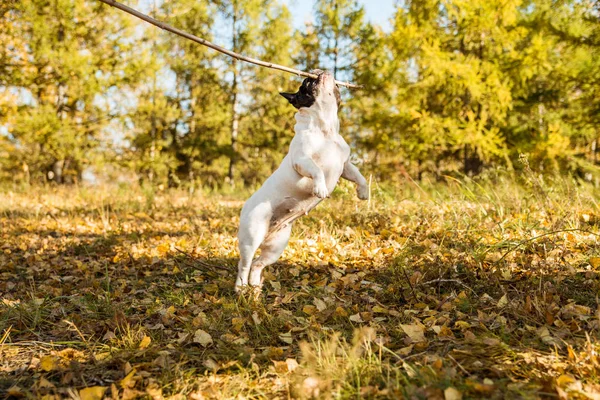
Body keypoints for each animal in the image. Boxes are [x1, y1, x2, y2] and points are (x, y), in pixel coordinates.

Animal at [236, 70, 368, 292]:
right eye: (307, 83)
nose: (317, 71)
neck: (326, 130)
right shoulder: (302, 160)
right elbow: (317, 171)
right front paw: (320, 189)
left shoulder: (345, 165)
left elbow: (360, 176)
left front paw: (363, 193)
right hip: (251, 236)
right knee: (244, 264)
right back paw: (240, 287)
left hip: (276, 246)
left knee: (258, 264)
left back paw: (255, 285)